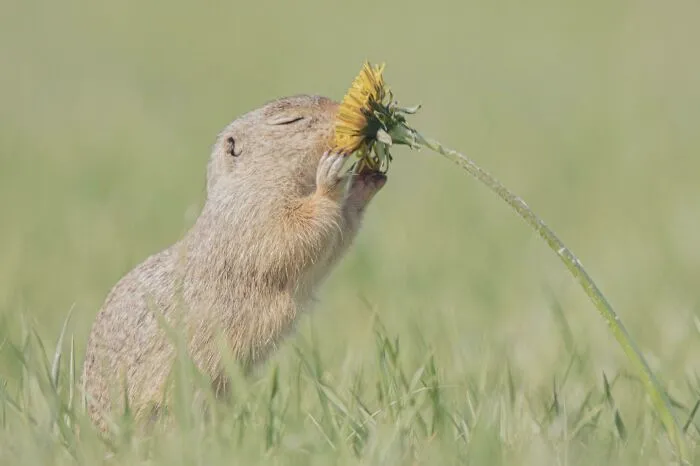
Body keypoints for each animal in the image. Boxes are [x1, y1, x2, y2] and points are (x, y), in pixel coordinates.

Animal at [81, 94, 387, 431]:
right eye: (290, 120)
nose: (362, 114)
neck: (249, 185)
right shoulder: (252, 217)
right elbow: (293, 235)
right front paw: (331, 178)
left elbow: (334, 237)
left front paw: (366, 179)